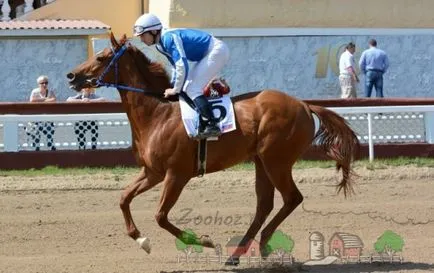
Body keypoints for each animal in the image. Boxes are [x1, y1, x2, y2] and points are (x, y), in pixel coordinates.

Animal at [67, 32, 360, 264]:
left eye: (101, 57)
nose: (71, 75)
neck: (158, 113)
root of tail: (304, 105)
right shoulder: (153, 172)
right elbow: (123, 198)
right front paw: (142, 240)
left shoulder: (176, 174)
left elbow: (160, 216)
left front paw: (204, 241)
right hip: (261, 161)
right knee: (264, 204)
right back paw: (240, 253)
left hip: (276, 160)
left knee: (292, 198)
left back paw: (262, 244)